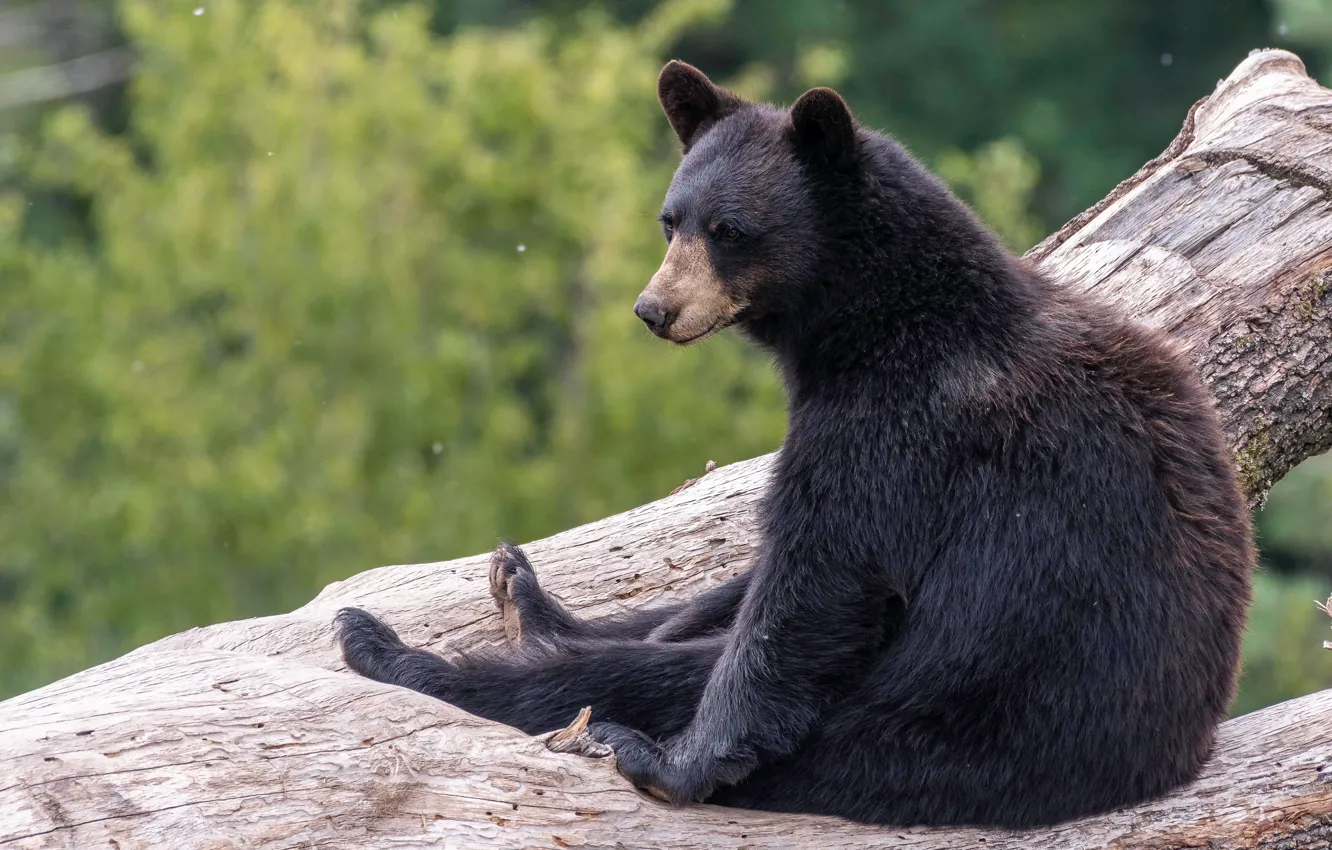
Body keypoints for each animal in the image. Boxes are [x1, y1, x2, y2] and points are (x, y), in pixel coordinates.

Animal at [338, 61, 1252, 831]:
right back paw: (527, 601)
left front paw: (668, 763)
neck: (876, 321)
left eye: (729, 228)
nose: (654, 309)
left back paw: (395, 651)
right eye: (670, 220)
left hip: (939, 724)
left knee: (662, 671)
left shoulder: (897, 426)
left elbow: (814, 585)